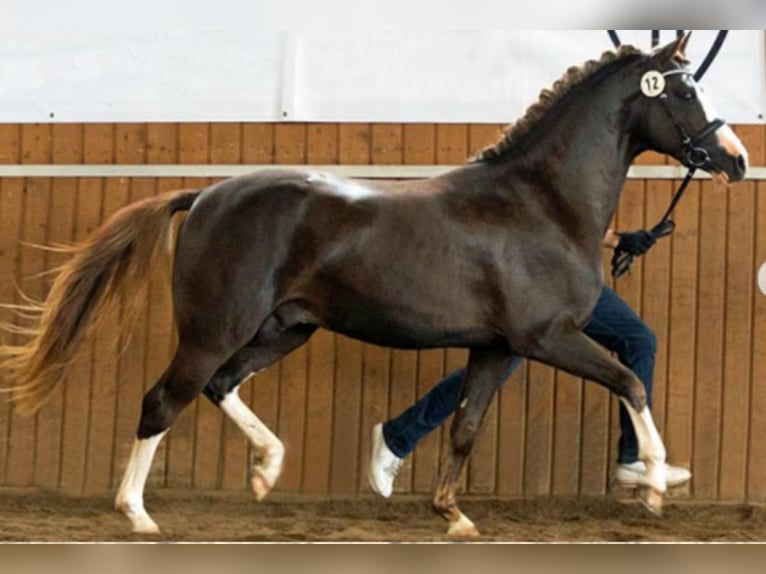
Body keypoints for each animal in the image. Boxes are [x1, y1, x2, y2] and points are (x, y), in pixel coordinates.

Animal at [0, 34, 748, 538]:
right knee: (164, 401)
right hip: (214, 329)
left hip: (285, 329)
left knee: (219, 387)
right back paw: (138, 514)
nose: (735, 160)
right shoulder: (547, 338)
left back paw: (267, 469)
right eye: (685, 91)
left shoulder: (497, 347)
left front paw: (453, 516)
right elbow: (631, 382)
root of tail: (207, 195)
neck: (540, 202)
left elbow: (466, 425)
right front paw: (654, 484)